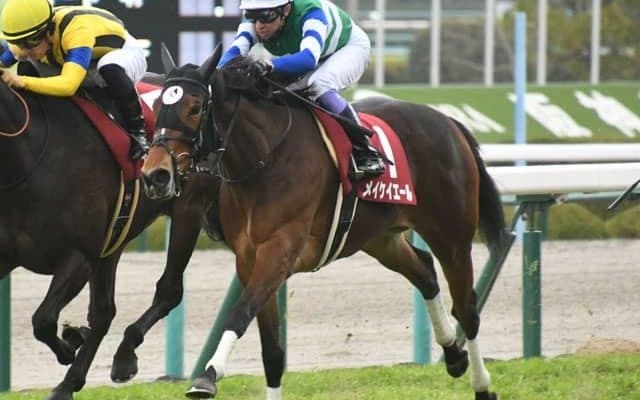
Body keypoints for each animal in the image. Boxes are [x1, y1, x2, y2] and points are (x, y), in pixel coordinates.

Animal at [0, 71, 219, 400]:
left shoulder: (79, 257)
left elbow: (43, 320)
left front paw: (70, 345)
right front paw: (74, 339)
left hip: (187, 210)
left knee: (168, 291)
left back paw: (120, 357)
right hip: (115, 237)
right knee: (104, 311)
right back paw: (73, 378)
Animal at [141, 44, 509, 400]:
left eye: (195, 107)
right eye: (157, 105)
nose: (155, 174)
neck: (265, 159)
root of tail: (449, 121)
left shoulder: (279, 250)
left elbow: (239, 313)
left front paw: (207, 376)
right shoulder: (249, 259)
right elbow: (272, 353)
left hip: (452, 236)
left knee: (467, 308)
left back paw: (482, 386)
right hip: (381, 238)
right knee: (425, 271)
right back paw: (454, 356)